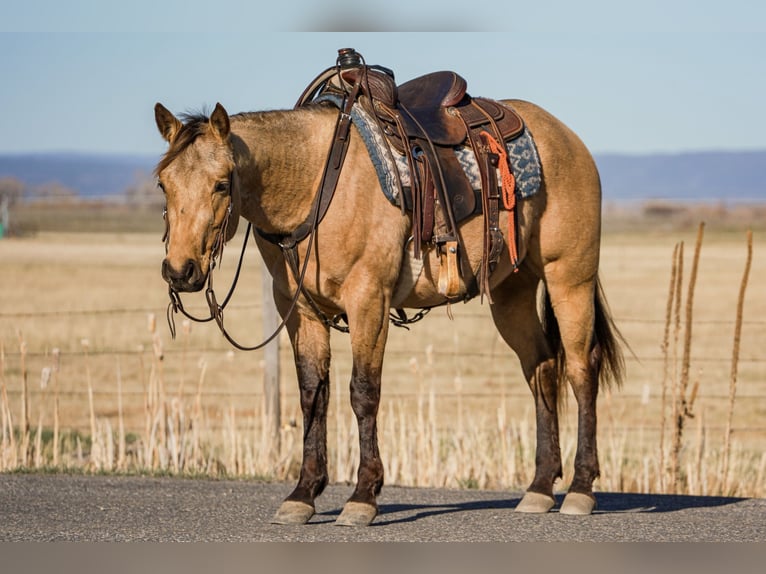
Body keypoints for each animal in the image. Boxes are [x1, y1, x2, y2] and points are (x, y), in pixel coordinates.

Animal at [153, 71, 624, 526]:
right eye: (163, 184)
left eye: (220, 184)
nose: (180, 271)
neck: (314, 183)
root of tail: (567, 138)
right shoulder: (299, 309)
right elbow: (312, 395)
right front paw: (303, 494)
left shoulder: (369, 300)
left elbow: (363, 392)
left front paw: (363, 496)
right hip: (512, 293)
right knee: (542, 368)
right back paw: (540, 488)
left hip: (570, 279)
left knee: (581, 370)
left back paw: (581, 488)